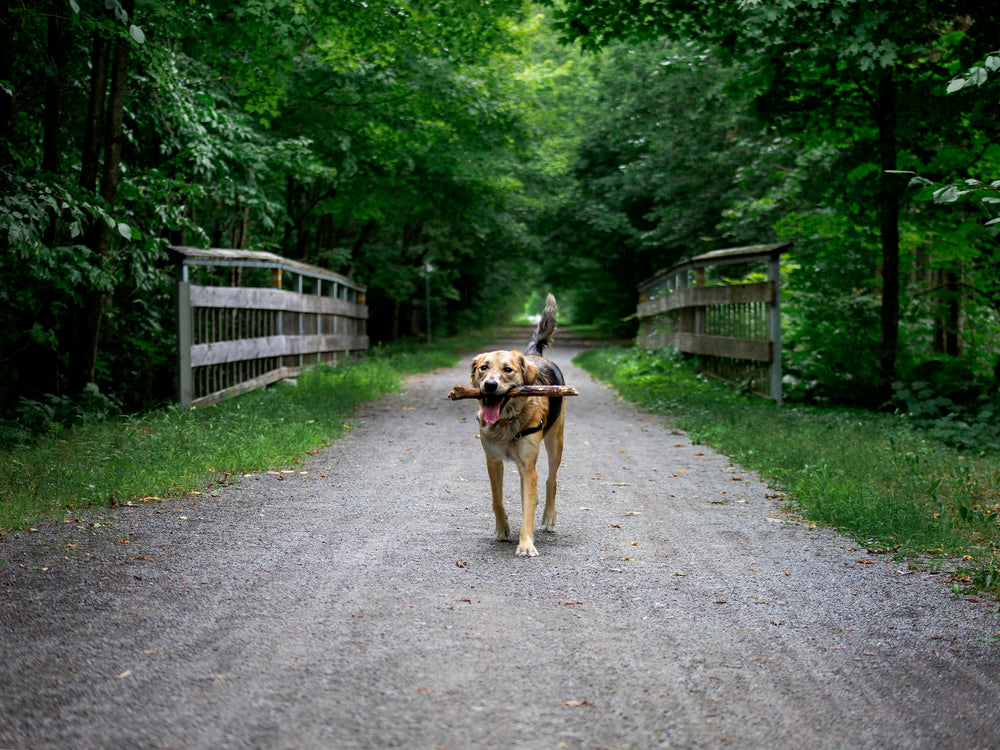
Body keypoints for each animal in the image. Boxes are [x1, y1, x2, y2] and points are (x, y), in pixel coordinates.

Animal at [466, 294, 564, 560]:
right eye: (484, 368)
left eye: (508, 370)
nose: (489, 385)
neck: (506, 421)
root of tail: (534, 355)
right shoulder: (493, 460)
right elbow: (497, 499)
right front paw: (502, 528)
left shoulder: (527, 467)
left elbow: (527, 508)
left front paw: (526, 543)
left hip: (556, 441)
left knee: (551, 480)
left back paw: (549, 516)